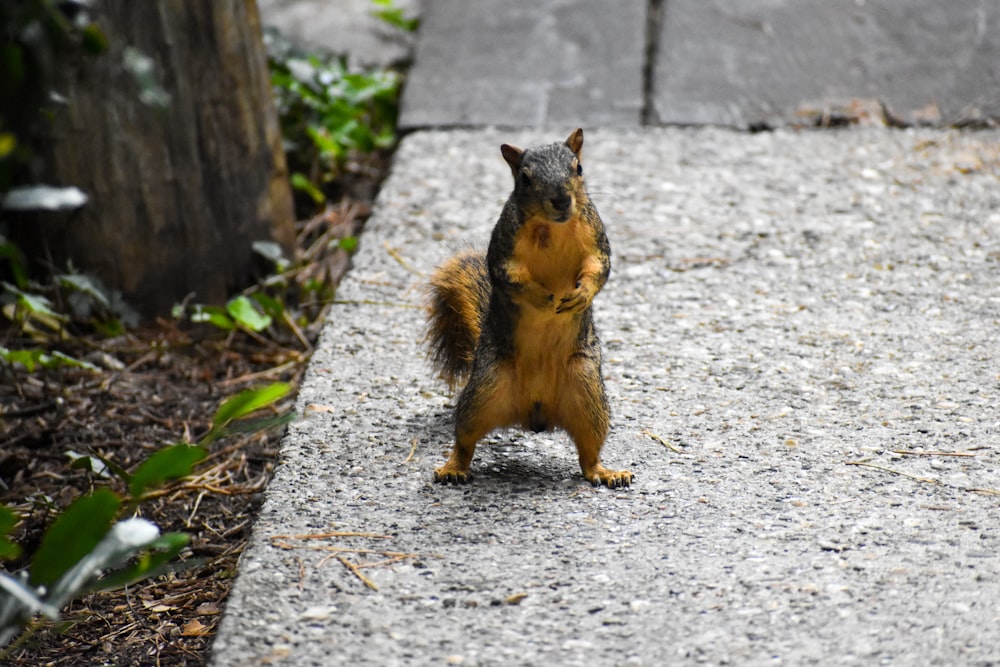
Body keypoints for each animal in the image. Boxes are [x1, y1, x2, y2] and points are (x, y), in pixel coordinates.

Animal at [424, 128, 632, 488]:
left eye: (578, 168)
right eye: (525, 178)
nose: (561, 200)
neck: (554, 227)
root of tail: (535, 413)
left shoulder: (596, 237)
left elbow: (598, 267)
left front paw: (581, 295)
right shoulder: (505, 248)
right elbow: (510, 276)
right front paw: (540, 297)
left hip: (587, 391)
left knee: (588, 452)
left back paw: (606, 473)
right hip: (484, 389)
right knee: (465, 439)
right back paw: (453, 468)